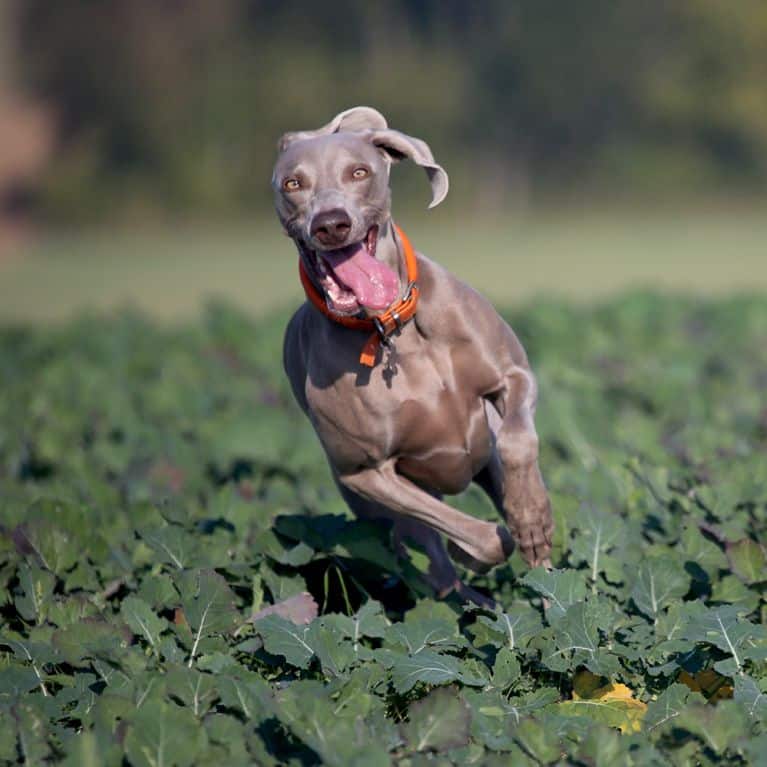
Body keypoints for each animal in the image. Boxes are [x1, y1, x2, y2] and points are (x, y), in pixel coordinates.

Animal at [272, 106, 548, 608]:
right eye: (293, 183)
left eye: (359, 172)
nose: (331, 223)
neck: (389, 331)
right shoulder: (364, 472)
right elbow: (477, 538)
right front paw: (474, 550)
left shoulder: (514, 375)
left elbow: (520, 443)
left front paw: (531, 516)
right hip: (374, 511)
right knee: (429, 560)